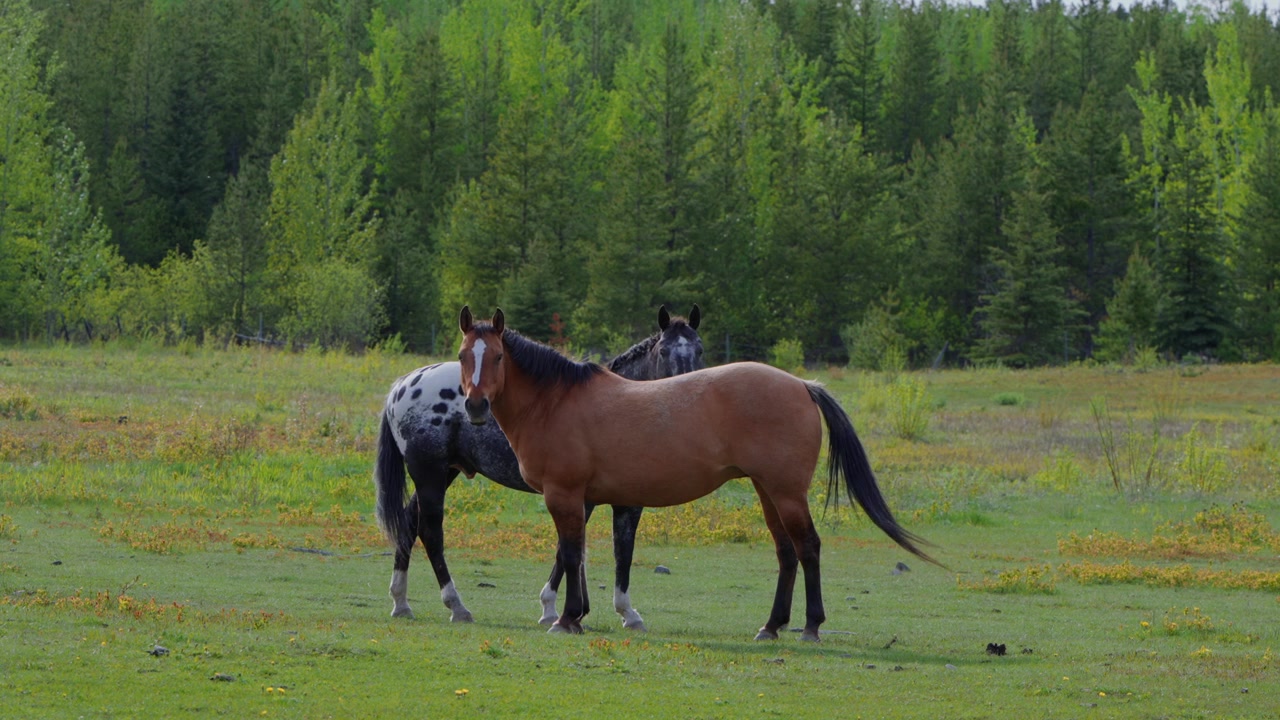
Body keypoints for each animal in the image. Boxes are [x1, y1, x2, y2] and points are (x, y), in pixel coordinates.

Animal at [374, 305, 704, 630]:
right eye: (664, 350)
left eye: (699, 349)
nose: (690, 395)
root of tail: (403, 385)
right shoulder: (593, 499)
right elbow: (585, 550)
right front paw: (562, 609)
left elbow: (596, 549)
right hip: (429, 472)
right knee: (430, 531)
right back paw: (456, 605)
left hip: (442, 473)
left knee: (409, 522)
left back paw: (401, 601)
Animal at [456, 307, 937, 640]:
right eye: (463, 355)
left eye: (496, 356)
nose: (475, 406)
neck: (556, 402)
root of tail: (802, 385)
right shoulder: (588, 500)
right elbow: (577, 555)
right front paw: (575, 615)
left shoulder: (566, 495)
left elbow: (571, 554)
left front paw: (567, 618)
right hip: (767, 491)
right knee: (786, 552)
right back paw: (771, 625)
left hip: (786, 492)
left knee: (808, 548)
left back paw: (811, 626)